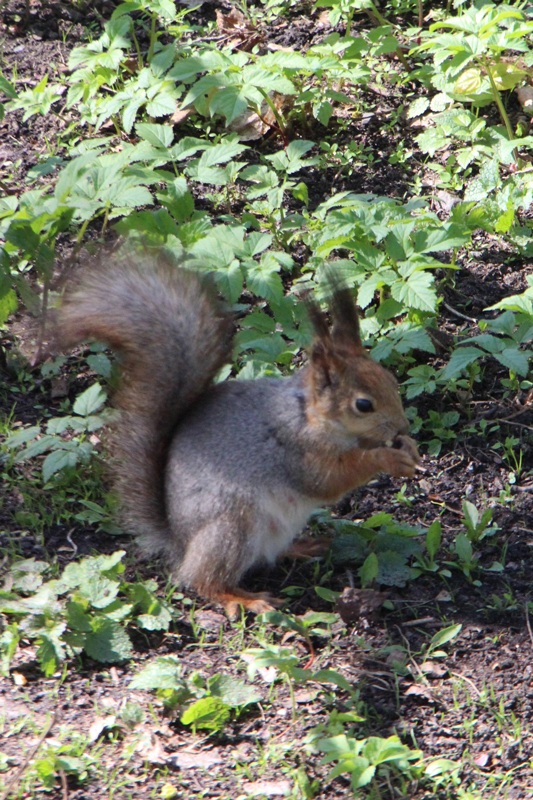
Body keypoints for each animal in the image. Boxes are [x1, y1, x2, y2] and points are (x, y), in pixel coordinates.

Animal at [55, 256, 420, 620]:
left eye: (390, 381)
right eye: (363, 405)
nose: (402, 428)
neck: (309, 416)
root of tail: (181, 543)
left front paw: (409, 449)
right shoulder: (295, 451)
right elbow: (330, 481)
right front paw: (387, 458)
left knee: (265, 556)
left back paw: (303, 547)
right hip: (230, 528)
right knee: (204, 580)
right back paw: (244, 599)